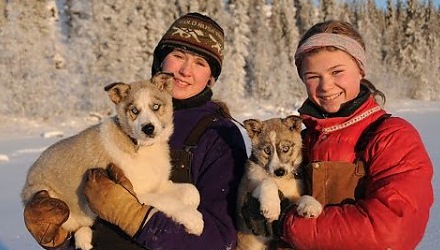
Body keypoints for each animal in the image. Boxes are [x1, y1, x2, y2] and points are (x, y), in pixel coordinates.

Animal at [21, 72, 203, 250]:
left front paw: (191, 203)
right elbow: (168, 202)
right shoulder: (137, 192)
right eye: (134, 110)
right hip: (51, 196)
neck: (139, 146)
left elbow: (192, 191)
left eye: (156, 106)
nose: (148, 128)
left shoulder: (159, 184)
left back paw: (84, 239)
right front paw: (194, 220)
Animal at [237, 116, 324, 249]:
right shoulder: (245, 192)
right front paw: (272, 207)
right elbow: (266, 181)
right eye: (267, 150)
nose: (279, 171)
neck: (281, 180)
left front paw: (310, 205)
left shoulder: (294, 195)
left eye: (286, 148)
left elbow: (304, 196)